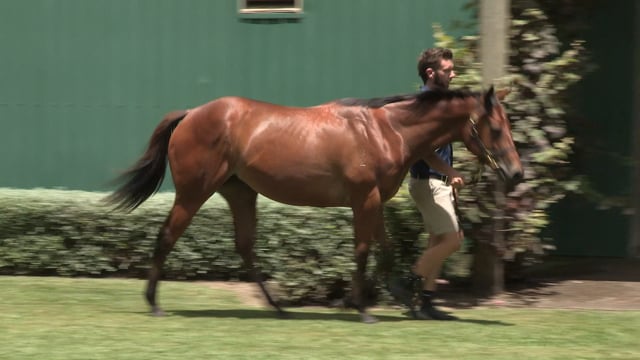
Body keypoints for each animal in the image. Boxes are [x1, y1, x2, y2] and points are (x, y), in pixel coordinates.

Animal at [107, 86, 524, 324]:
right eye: (496, 128)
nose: (516, 173)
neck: (385, 132)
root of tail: (190, 114)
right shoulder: (364, 199)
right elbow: (363, 250)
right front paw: (361, 308)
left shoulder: (375, 201)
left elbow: (386, 250)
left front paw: (403, 298)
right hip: (194, 192)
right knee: (167, 236)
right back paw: (154, 304)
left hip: (240, 193)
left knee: (245, 247)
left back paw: (277, 307)